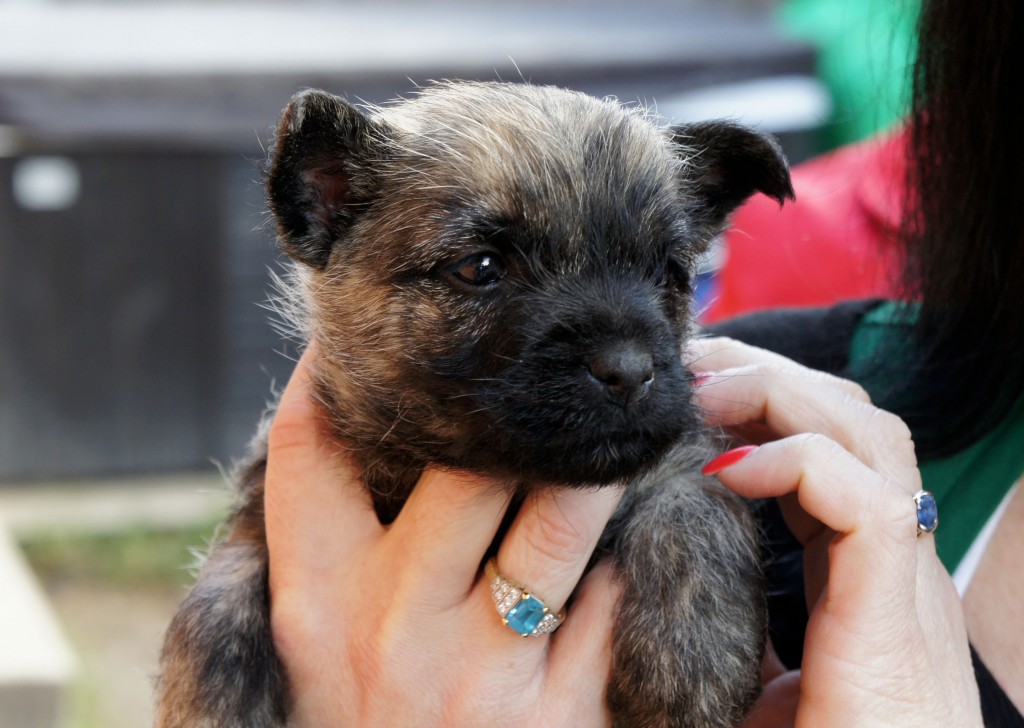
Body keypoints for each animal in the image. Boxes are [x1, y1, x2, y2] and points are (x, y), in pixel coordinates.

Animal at [153, 81, 790, 728]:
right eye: (480, 266)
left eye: (669, 272)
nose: (631, 371)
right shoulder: (261, 517)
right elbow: (213, 600)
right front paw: (209, 705)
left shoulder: (680, 459)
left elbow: (695, 506)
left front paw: (691, 666)